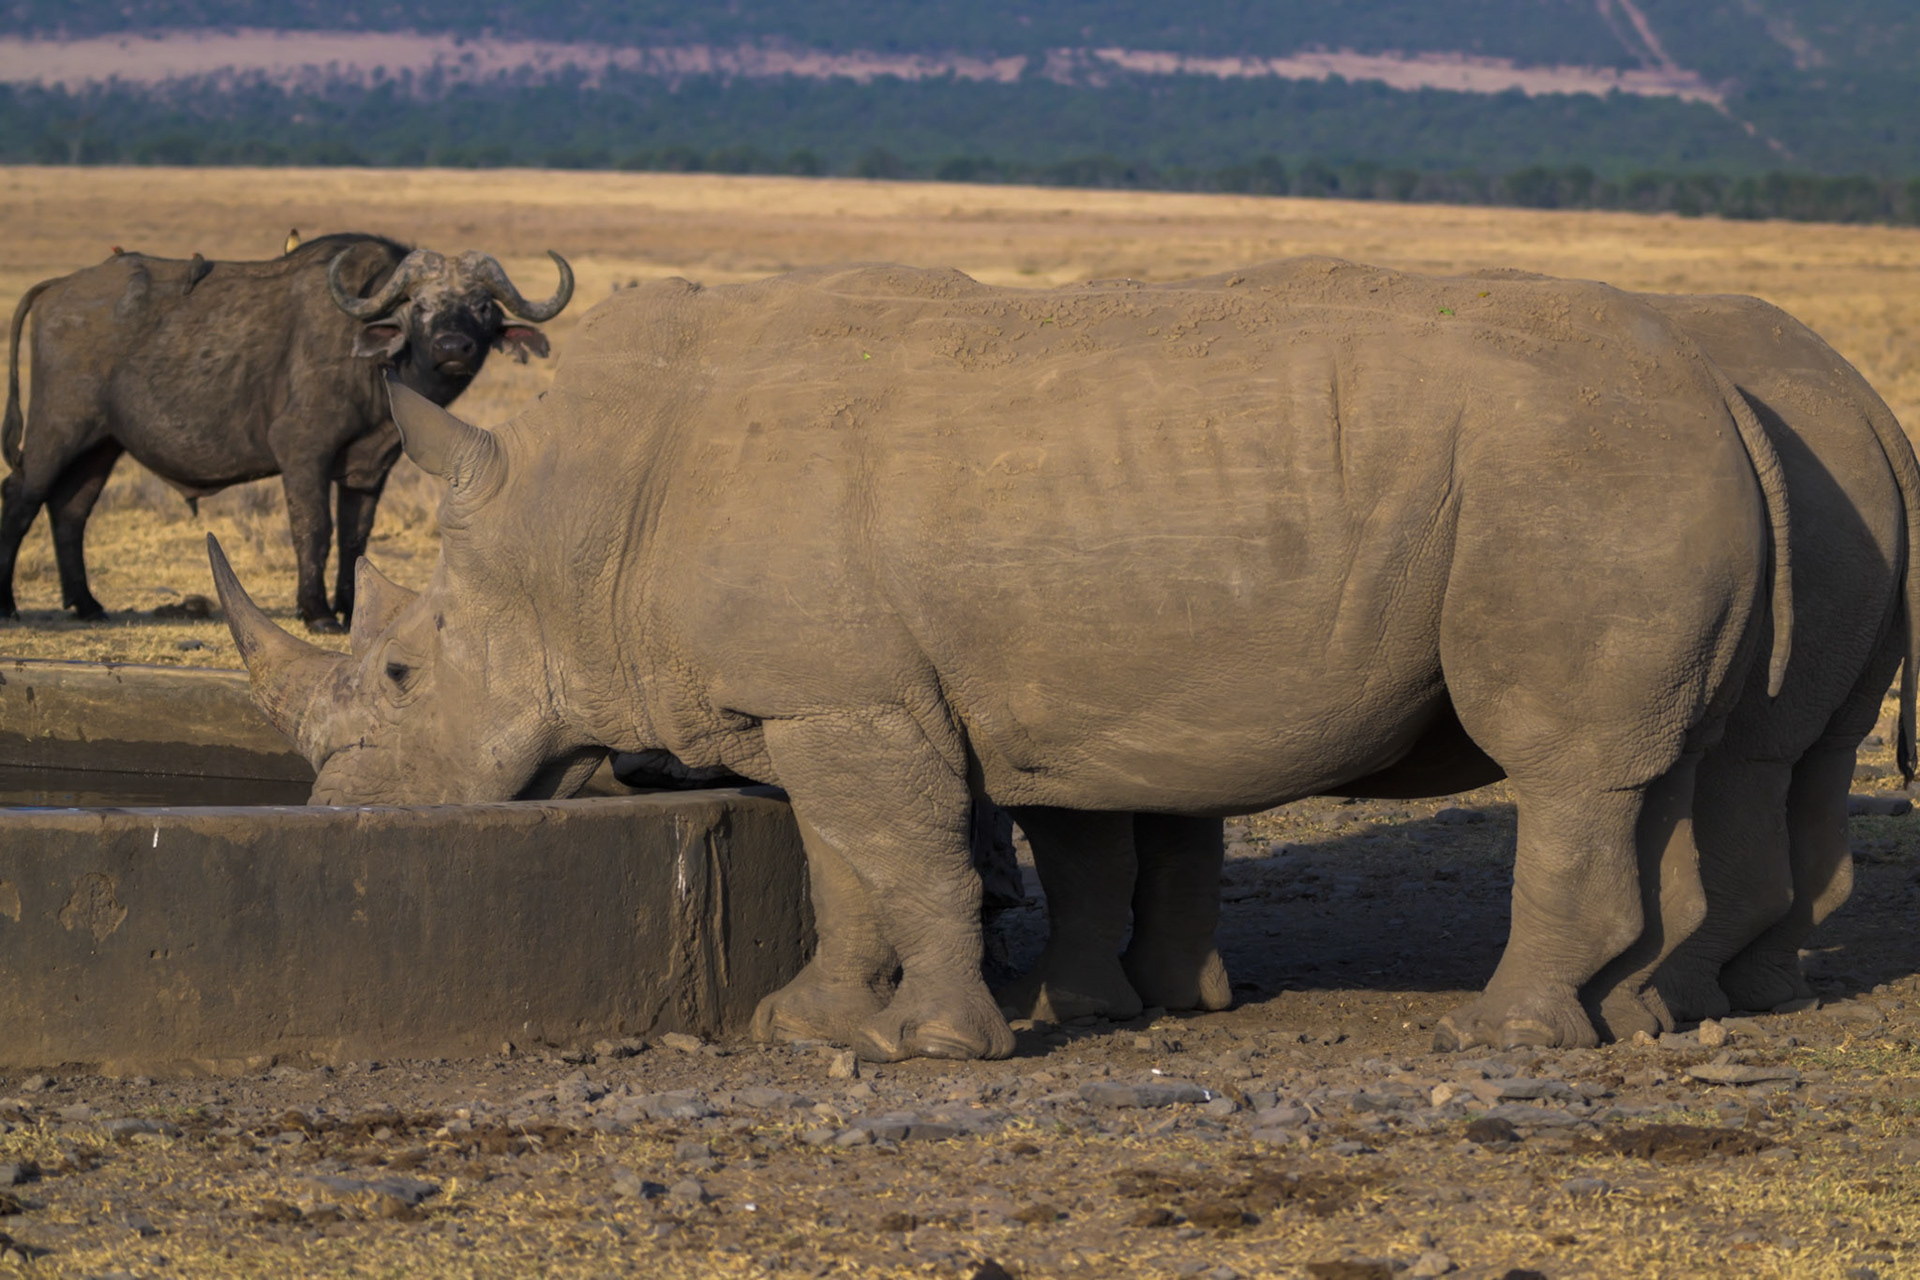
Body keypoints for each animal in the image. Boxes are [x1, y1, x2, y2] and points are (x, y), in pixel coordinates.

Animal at [1, 234, 572, 630]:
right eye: (421, 305)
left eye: (482, 306)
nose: (454, 348)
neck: (374, 369)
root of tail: (58, 287)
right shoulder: (303, 452)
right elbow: (314, 527)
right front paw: (317, 611)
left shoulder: (370, 467)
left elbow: (356, 535)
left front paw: (351, 607)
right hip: (58, 431)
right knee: (21, 497)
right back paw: (9, 604)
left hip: (101, 445)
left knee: (70, 510)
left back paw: (86, 603)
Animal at [209, 259, 1793, 1060]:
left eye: (401, 677)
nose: (340, 820)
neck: (574, 515)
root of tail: (1720, 387)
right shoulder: (815, 699)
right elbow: (846, 865)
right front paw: (809, 1026)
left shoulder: (854, 696)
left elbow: (903, 854)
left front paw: (942, 1049)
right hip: (1618, 471)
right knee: (1647, 758)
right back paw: (1636, 1019)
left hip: (1573, 469)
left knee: (1569, 765)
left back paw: (1506, 1040)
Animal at [1000, 287, 1919, 1038]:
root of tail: (1869, 410)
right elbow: (1152, 809)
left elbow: (1082, 821)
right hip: (1828, 509)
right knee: (1795, 754)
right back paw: (1739, 998)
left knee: (1713, 759)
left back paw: (1606, 1014)